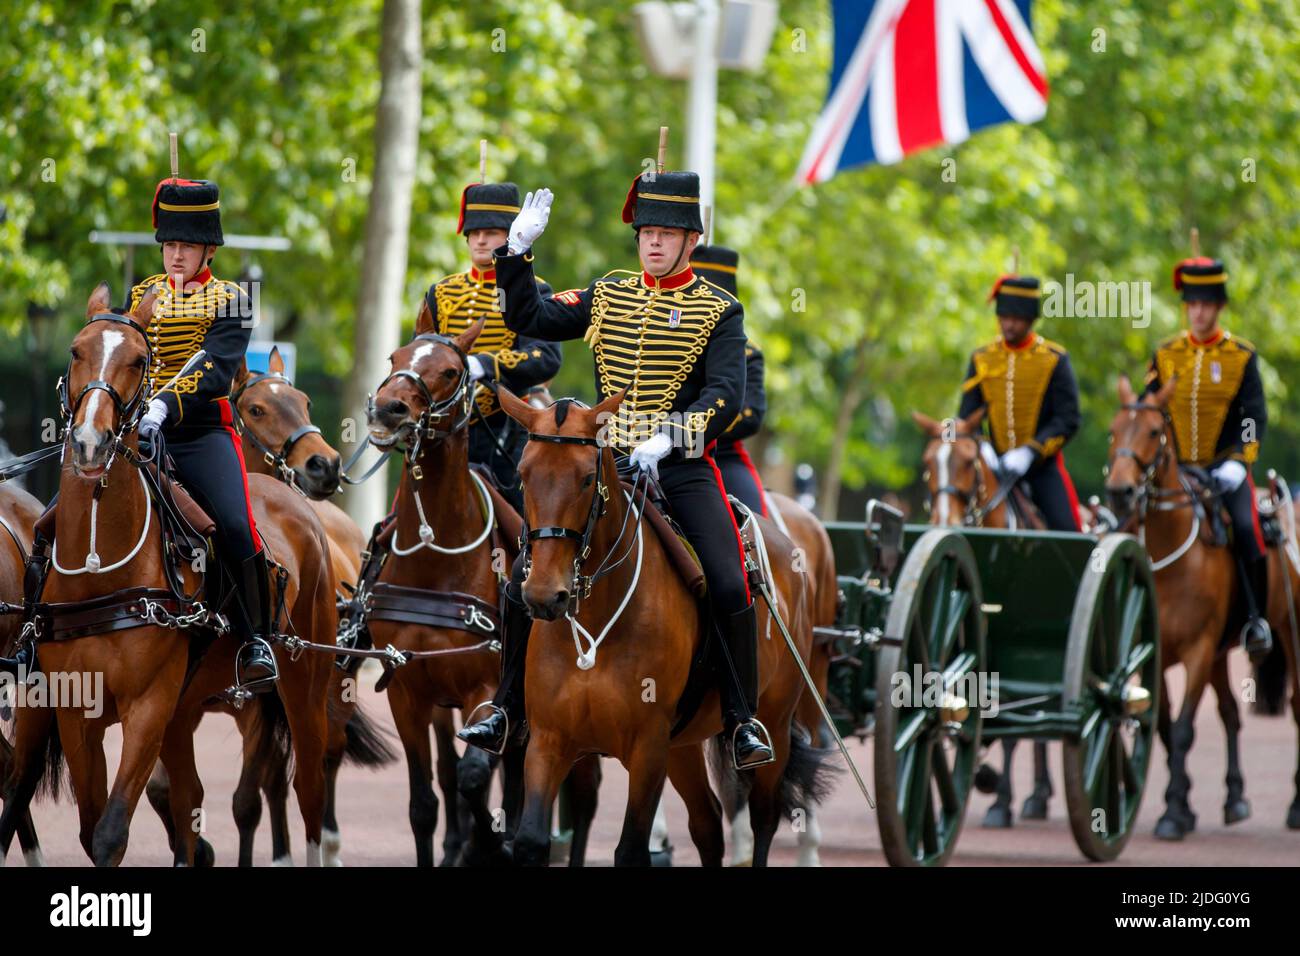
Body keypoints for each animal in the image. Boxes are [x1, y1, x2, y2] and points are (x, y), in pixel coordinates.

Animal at [496, 382, 832, 868]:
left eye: (585, 478)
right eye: (523, 475)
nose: (543, 596)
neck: (597, 622)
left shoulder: (647, 747)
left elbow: (631, 849)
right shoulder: (548, 740)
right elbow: (529, 841)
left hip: (775, 723)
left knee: (763, 819)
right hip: (683, 745)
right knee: (707, 824)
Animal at [1107, 374, 1248, 837]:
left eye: (1154, 431)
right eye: (1113, 430)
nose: (1120, 492)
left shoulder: (1198, 650)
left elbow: (1184, 729)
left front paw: (1172, 813)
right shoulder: (1155, 651)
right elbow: (1166, 729)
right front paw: (1181, 806)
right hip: (1220, 656)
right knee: (1230, 712)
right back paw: (1235, 798)